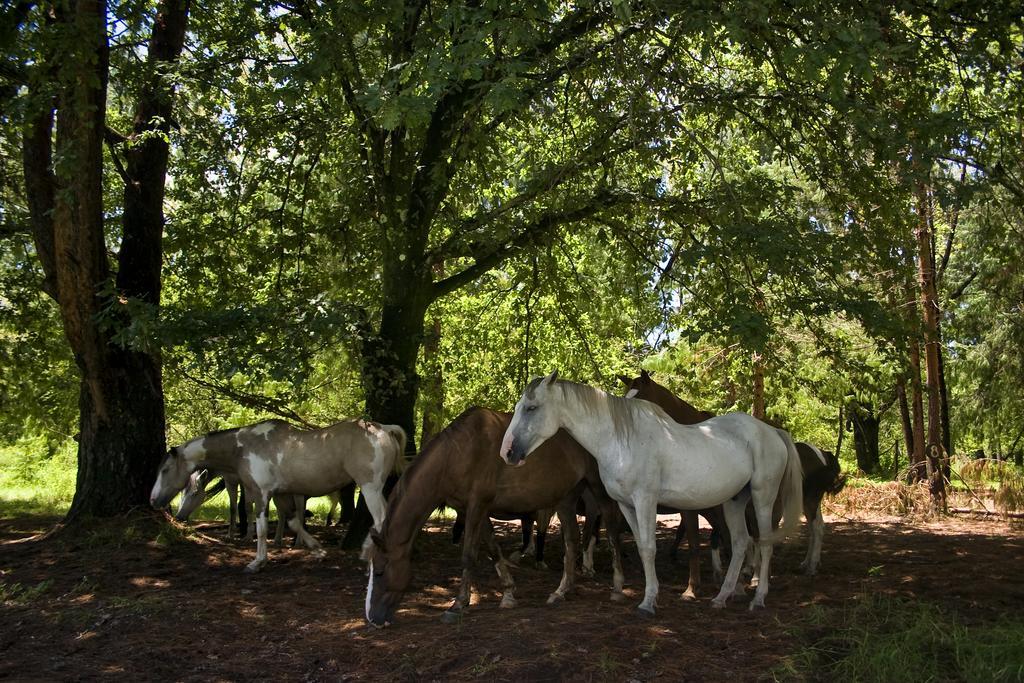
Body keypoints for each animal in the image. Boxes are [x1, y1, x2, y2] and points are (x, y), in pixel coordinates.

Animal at [151, 419, 407, 573]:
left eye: (165, 470)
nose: (154, 500)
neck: (243, 447)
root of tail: (384, 428)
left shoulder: (261, 493)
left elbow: (261, 527)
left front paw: (257, 561)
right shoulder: (282, 494)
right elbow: (294, 522)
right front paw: (317, 550)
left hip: (370, 487)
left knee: (380, 519)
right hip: (375, 488)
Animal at [364, 405, 626, 630]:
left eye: (380, 571)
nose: (372, 619)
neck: (457, 453)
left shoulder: (477, 506)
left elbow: (468, 556)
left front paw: (458, 604)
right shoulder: (474, 510)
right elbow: (492, 549)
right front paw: (508, 593)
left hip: (599, 489)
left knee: (612, 531)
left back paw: (617, 587)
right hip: (566, 498)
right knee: (571, 541)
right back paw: (561, 592)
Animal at [499, 374, 802, 614]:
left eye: (532, 408)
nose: (507, 453)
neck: (622, 440)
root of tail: (772, 431)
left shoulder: (645, 501)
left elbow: (648, 548)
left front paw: (647, 602)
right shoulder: (625, 505)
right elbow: (638, 547)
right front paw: (647, 596)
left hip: (762, 498)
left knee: (764, 543)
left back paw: (758, 598)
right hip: (734, 501)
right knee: (740, 543)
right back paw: (721, 597)